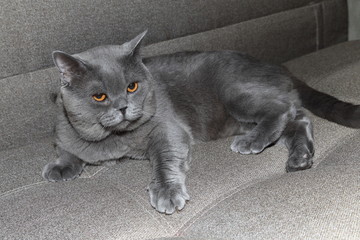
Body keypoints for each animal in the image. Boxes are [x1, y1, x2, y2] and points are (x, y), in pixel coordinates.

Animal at [43, 30, 360, 214]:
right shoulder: (63, 130)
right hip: (238, 117)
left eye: (132, 87)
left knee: (283, 109)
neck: (115, 140)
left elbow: (165, 161)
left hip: (235, 93)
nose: (123, 107)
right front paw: (59, 168)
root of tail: (279, 66)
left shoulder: (168, 129)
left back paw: (253, 142)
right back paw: (300, 157)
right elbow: (67, 148)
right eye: (99, 96)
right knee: (299, 117)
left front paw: (167, 193)